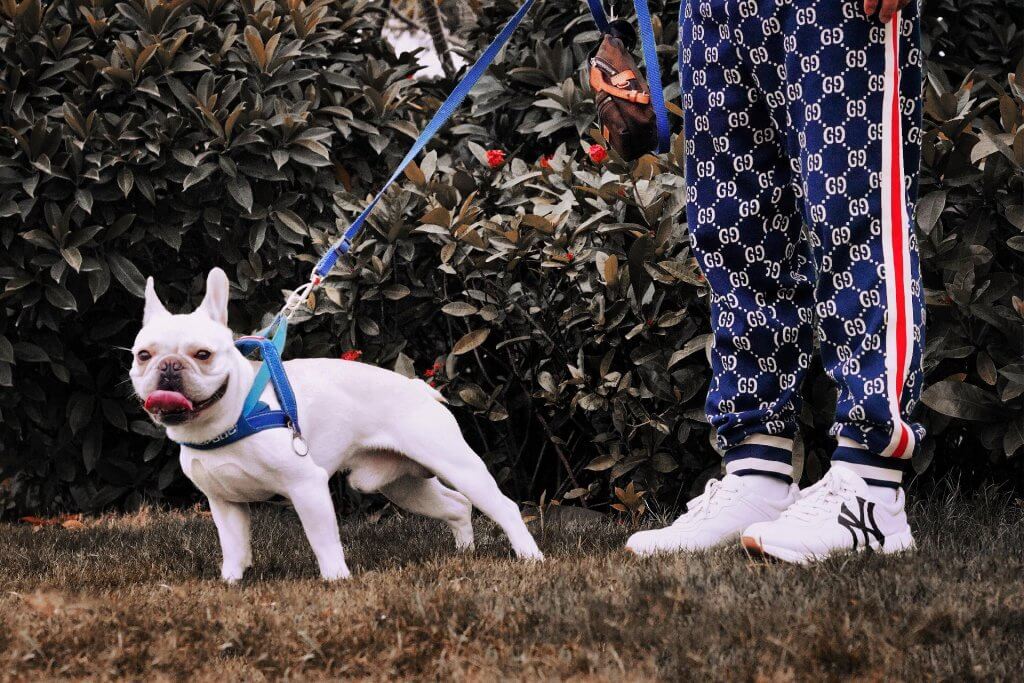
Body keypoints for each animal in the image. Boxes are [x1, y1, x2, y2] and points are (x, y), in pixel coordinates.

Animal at [129, 266, 544, 581]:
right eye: (143, 355)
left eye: (203, 355)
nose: (169, 367)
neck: (227, 420)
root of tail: (419, 389)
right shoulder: (225, 502)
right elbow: (233, 546)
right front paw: (231, 581)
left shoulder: (306, 485)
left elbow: (323, 540)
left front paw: (336, 580)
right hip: (401, 486)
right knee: (457, 505)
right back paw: (465, 553)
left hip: (457, 466)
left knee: (503, 506)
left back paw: (530, 557)